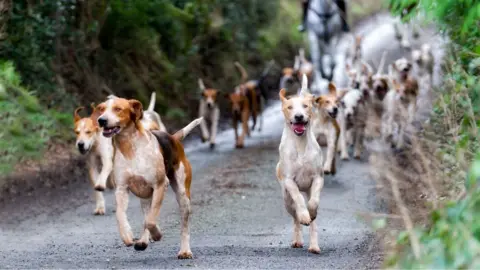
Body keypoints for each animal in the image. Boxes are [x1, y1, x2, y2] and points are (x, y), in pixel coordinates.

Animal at [95, 96, 202, 258]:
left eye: (118, 109)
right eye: (101, 109)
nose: (101, 120)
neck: (130, 147)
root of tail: (173, 138)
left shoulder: (159, 185)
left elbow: (151, 221)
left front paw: (157, 234)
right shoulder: (121, 189)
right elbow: (120, 215)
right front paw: (126, 235)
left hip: (183, 196)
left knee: (183, 226)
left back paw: (184, 251)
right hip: (145, 197)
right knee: (146, 215)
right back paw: (143, 241)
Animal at [276, 73, 324, 253]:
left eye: (305, 106)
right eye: (290, 107)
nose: (298, 116)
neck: (300, 143)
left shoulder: (318, 178)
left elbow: (313, 202)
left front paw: (310, 212)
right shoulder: (290, 181)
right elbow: (298, 199)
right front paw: (304, 215)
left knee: (313, 223)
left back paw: (314, 245)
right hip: (286, 200)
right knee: (295, 216)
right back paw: (297, 239)